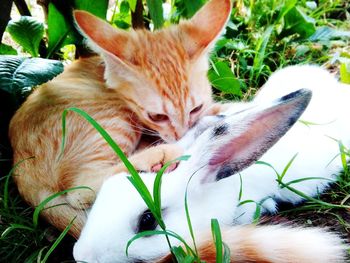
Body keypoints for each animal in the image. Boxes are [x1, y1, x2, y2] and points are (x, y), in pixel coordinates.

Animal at [8, 0, 232, 239]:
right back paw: (157, 156)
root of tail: (21, 167)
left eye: (195, 108)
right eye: (157, 116)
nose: (181, 133)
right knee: (80, 190)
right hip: (115, 121)